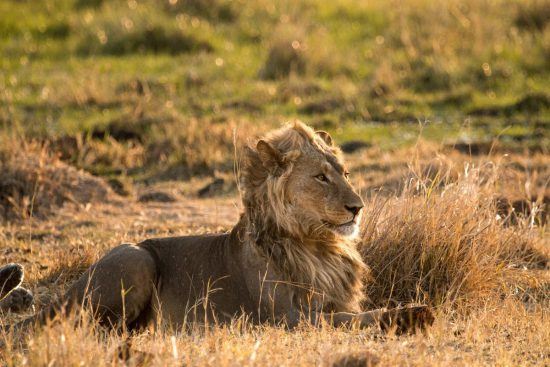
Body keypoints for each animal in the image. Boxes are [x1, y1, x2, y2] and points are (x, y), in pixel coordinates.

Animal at [3, 121, 436, 334]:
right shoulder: (288, 320)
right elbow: (350, 320)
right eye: (320, 177)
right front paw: (413, 315)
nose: (357, 208)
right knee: (84, 324)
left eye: (344, 173)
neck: (317, 244)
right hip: (135, 257)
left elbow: (350, 313)